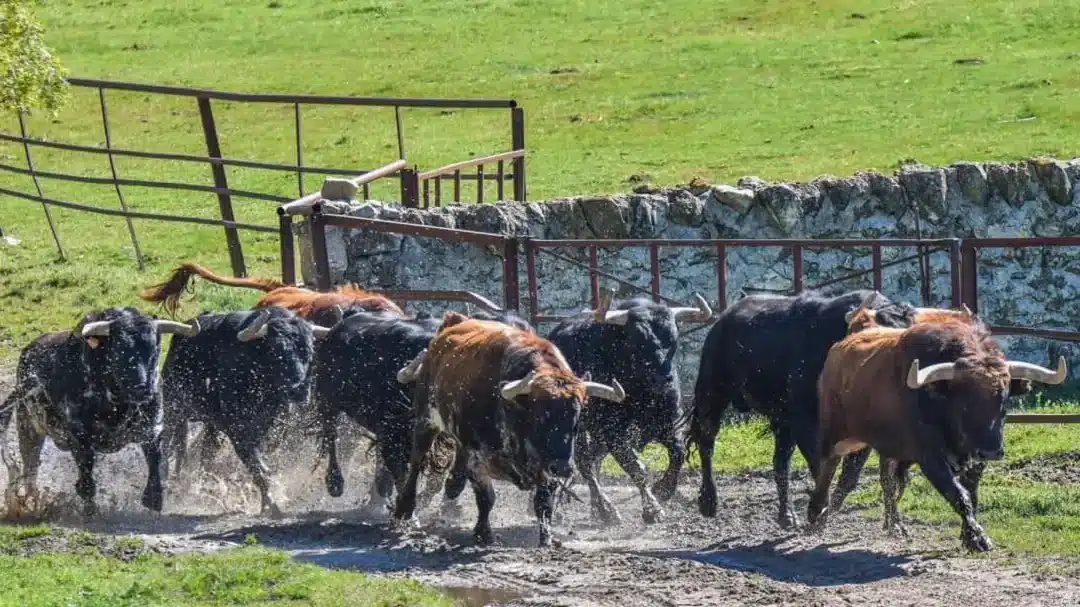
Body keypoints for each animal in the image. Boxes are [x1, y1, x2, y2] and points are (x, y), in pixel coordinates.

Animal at [390, 311, 626, 544]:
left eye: (576, 419)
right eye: (542, 416)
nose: (563, 468)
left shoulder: (545, 468)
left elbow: (543, 503)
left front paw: (547, 538)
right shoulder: (477, 458)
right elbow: (487, 497)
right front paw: (484, 532)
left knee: (453, 479)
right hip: (426, 420)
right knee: (417, 462)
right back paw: (404, 510)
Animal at [812, 317, 1062, 548]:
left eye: (1004, 399)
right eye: (966, 402)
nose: (991, 451)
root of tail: (837, 351)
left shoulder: (973, 460)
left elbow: (971, 494)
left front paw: (968, 536)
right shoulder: (931, 458)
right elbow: (958, 494)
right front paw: (978, 538)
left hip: (891, 449)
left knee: (887, 482)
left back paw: (894, 525)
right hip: (834, 435)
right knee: (828, 468)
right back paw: (816, 515)